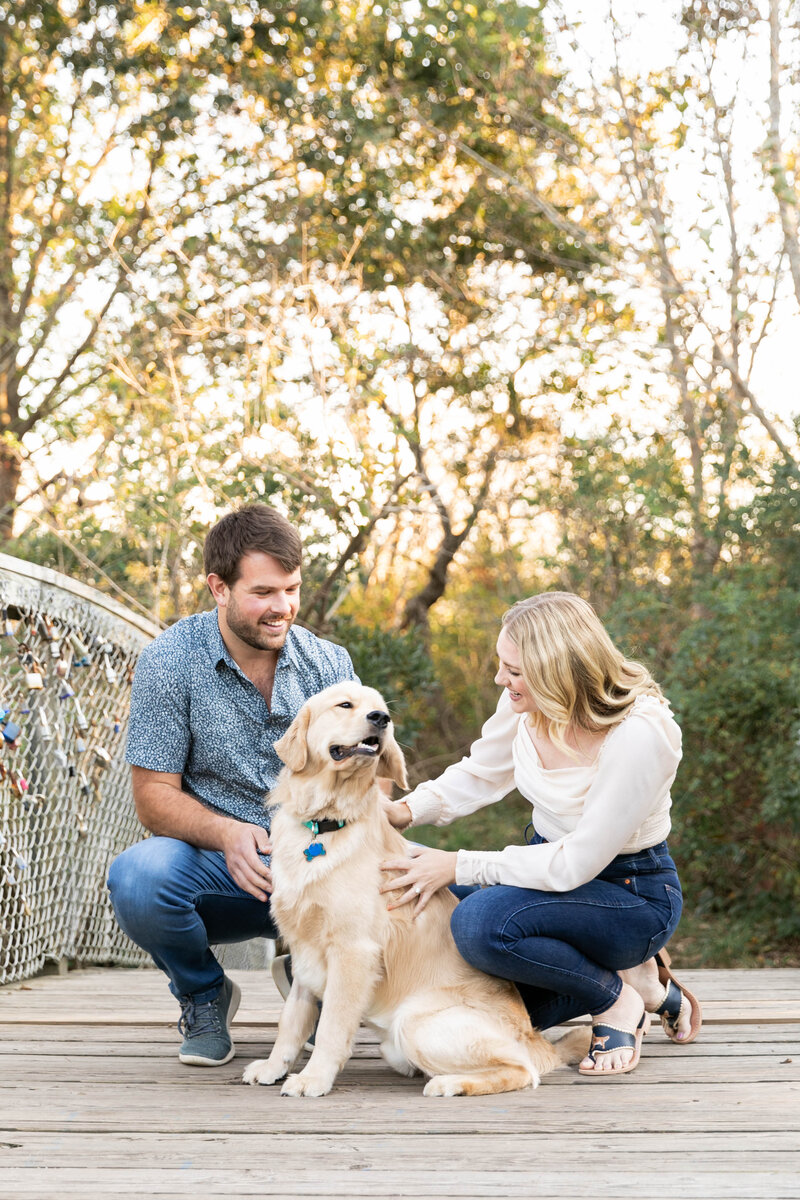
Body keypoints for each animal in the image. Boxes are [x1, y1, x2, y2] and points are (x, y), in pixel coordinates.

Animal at [241, 686, 592, 1099]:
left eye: (380, 709)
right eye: (345, 705)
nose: (380, 719)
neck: (325, 824)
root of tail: (535, 1038)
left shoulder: (353, 950)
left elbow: (330, 1026)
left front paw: (314, 1078)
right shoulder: (302, 947)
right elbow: (292, 1019)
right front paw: (273, 1067)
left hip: (415, 1020)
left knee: (522, 1070)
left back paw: (449, 1082)